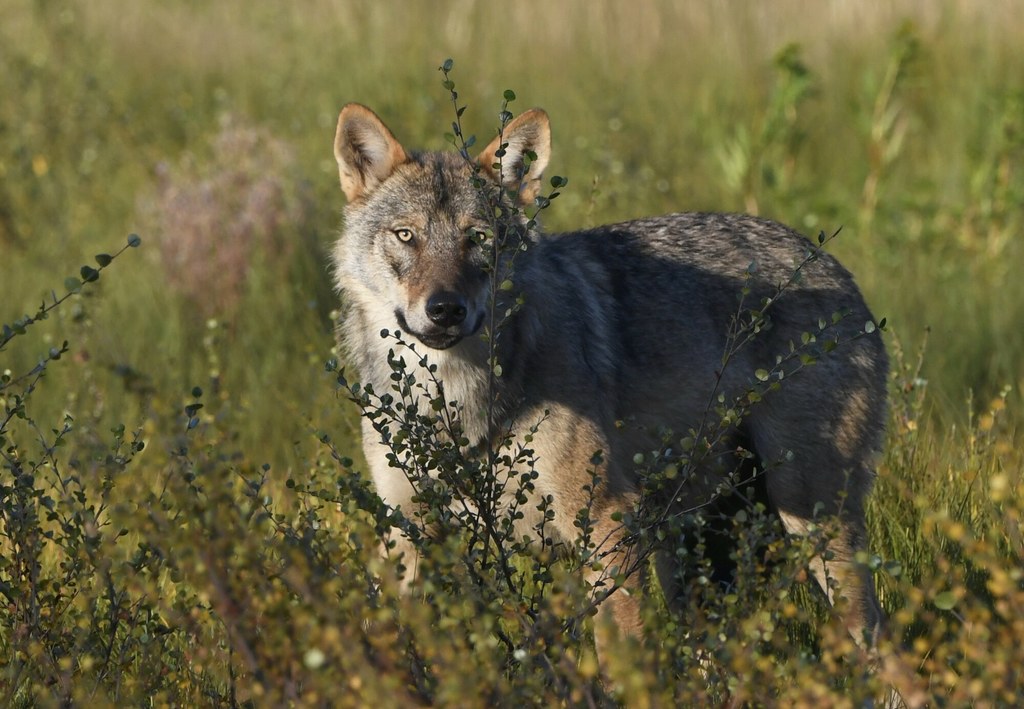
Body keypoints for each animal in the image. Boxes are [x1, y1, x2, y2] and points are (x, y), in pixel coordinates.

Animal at [329, 102, 921, 700]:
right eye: (406, 235)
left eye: (478, 238)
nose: (445, 309)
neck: (451, 401)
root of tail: (829, 260)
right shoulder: (407, 532)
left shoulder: (606, 520)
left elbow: (622, 660)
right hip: (692, 555)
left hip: (810, 521)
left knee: (884, 648)